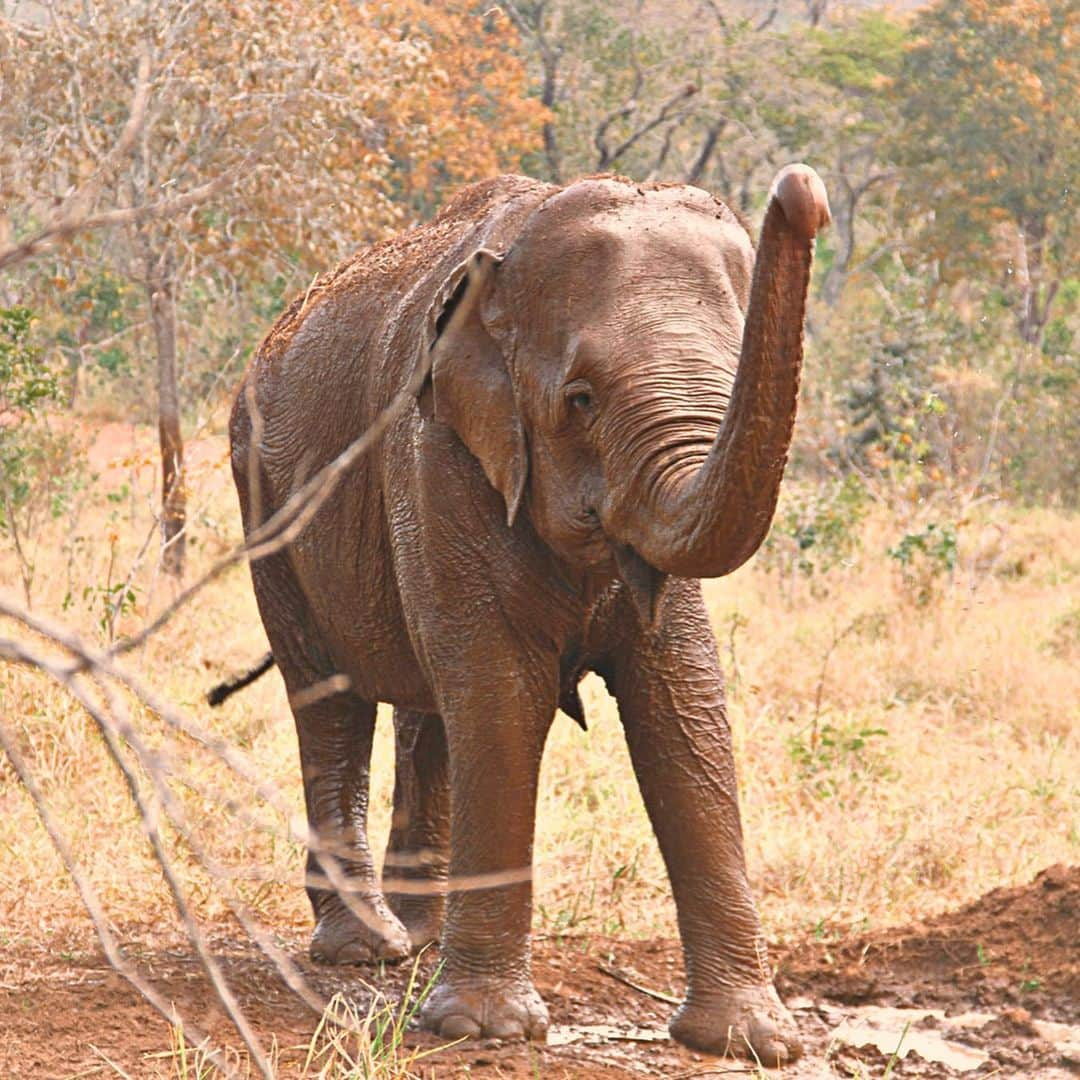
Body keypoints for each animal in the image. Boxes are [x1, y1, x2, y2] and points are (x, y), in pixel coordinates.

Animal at [227, 164, 829, 1067]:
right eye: (580, 399)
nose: (803, 191)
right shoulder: (434, 451)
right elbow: (505, 696)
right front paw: (484, 1029)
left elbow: (683, 702)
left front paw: (752, 1043)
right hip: (265, 499)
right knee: (330, 698)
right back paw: (370, 948)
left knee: (430, 709)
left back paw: (420, 932)